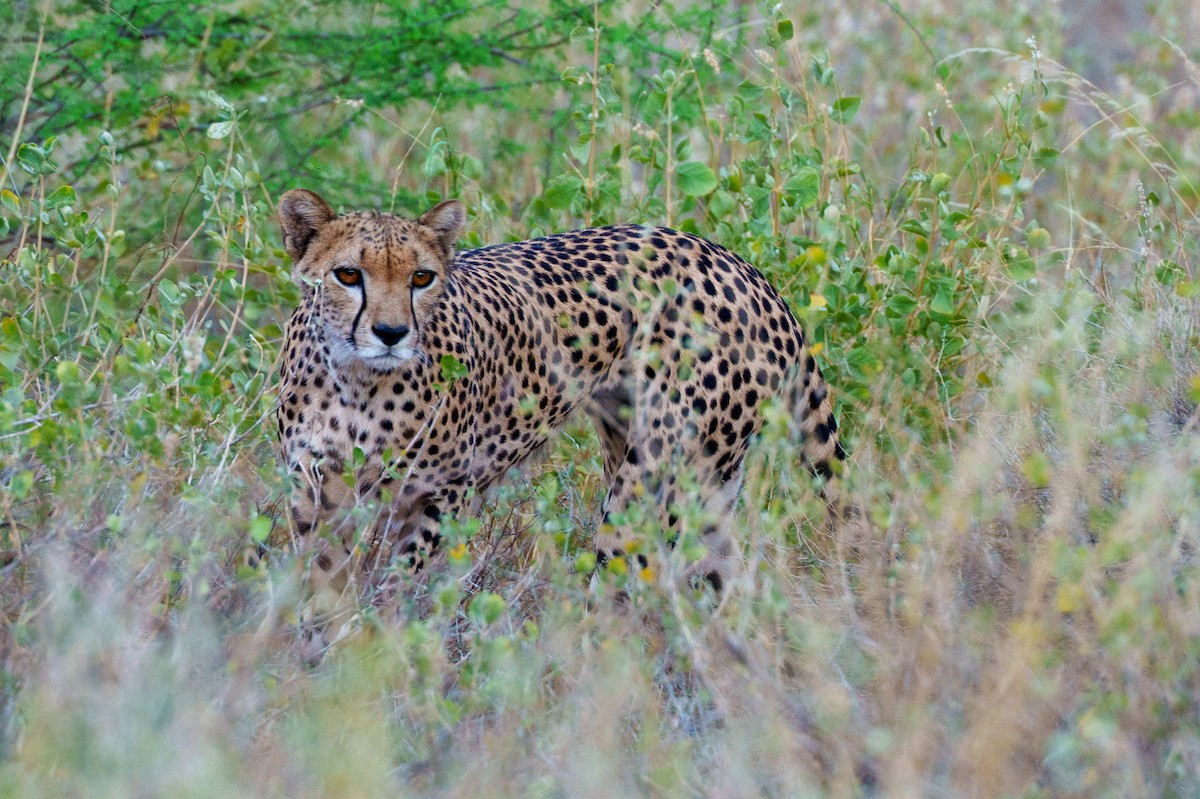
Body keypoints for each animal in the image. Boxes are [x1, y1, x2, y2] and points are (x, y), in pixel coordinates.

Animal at [276, 188, 844, 624]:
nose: (391, 333)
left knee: (622, 589)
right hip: (694, 475)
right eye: (349, 275)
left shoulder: (443, 493)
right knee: (724, 575)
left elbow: (396, 582)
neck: (358, 380)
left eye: (421, 278)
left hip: (655, 476)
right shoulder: (315, 485)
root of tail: (740, 265)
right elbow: (321, 572)